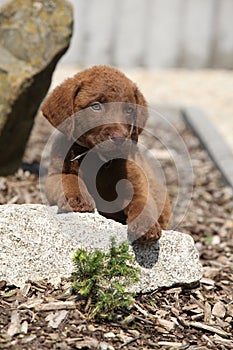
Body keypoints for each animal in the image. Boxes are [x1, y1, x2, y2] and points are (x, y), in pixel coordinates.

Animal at [41, 65, 171, 243]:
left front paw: (146, 225)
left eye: (129, 110)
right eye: (96, 106)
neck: (96, 159)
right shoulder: (54, 175)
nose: (120, 137)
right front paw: (78, 199)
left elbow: (142, 201)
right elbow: (69, 179)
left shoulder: (138, 183)